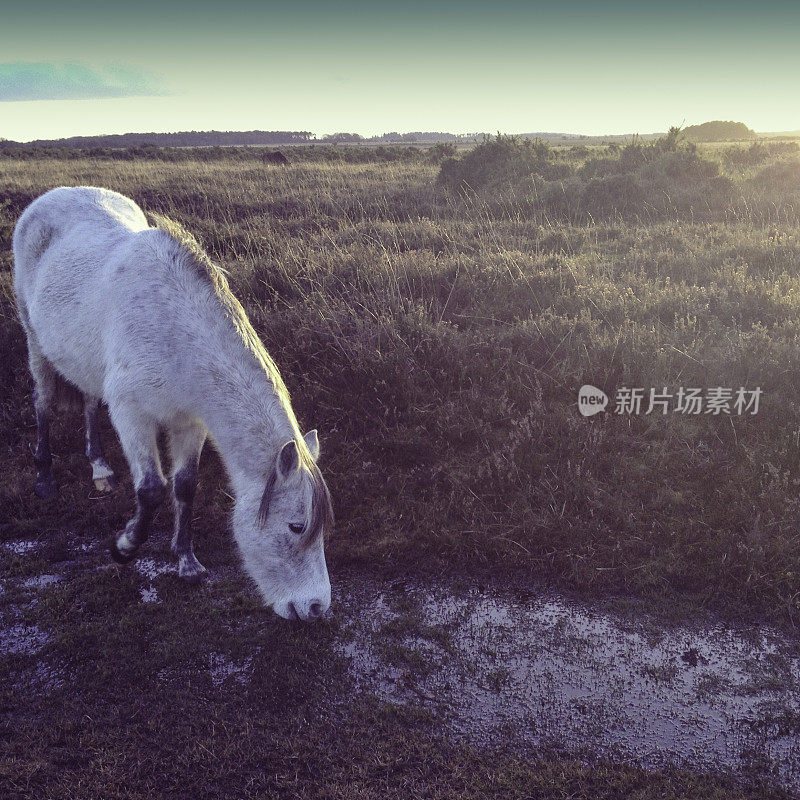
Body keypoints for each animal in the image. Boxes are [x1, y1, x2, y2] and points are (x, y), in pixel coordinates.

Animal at [13, 189, 332, 624]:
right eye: (296, 526)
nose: (316, 607)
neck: (176, 333)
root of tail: (54, 194)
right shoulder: (132, 415)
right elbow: (151, 489)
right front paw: (124, 548)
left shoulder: (191, 422)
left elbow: (184, 486)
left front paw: (187, 562)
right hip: (35, 340)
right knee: (43, 404)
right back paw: (44, 476)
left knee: (90, 401)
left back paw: (100, 468)